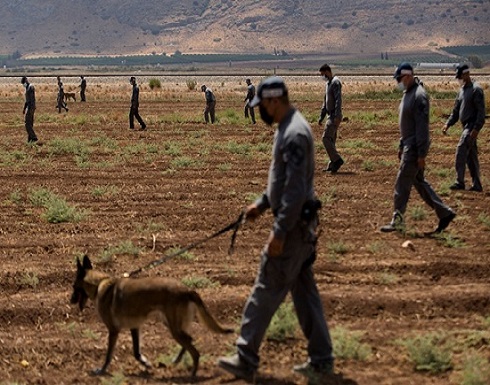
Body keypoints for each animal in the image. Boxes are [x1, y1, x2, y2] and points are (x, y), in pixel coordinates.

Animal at [69, 255, 235, 376]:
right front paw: (146, 364)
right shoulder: (135, 327)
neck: (99, 283)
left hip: (174, 328)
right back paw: (177, 360)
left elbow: (108, 355)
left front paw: (101, 370)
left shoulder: (113, 331)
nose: (70, 301)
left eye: (74, 287)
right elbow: (136, 352)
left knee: (194, 350)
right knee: (189, 340)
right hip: (171, 324)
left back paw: (192, 374)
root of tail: (187, 290)